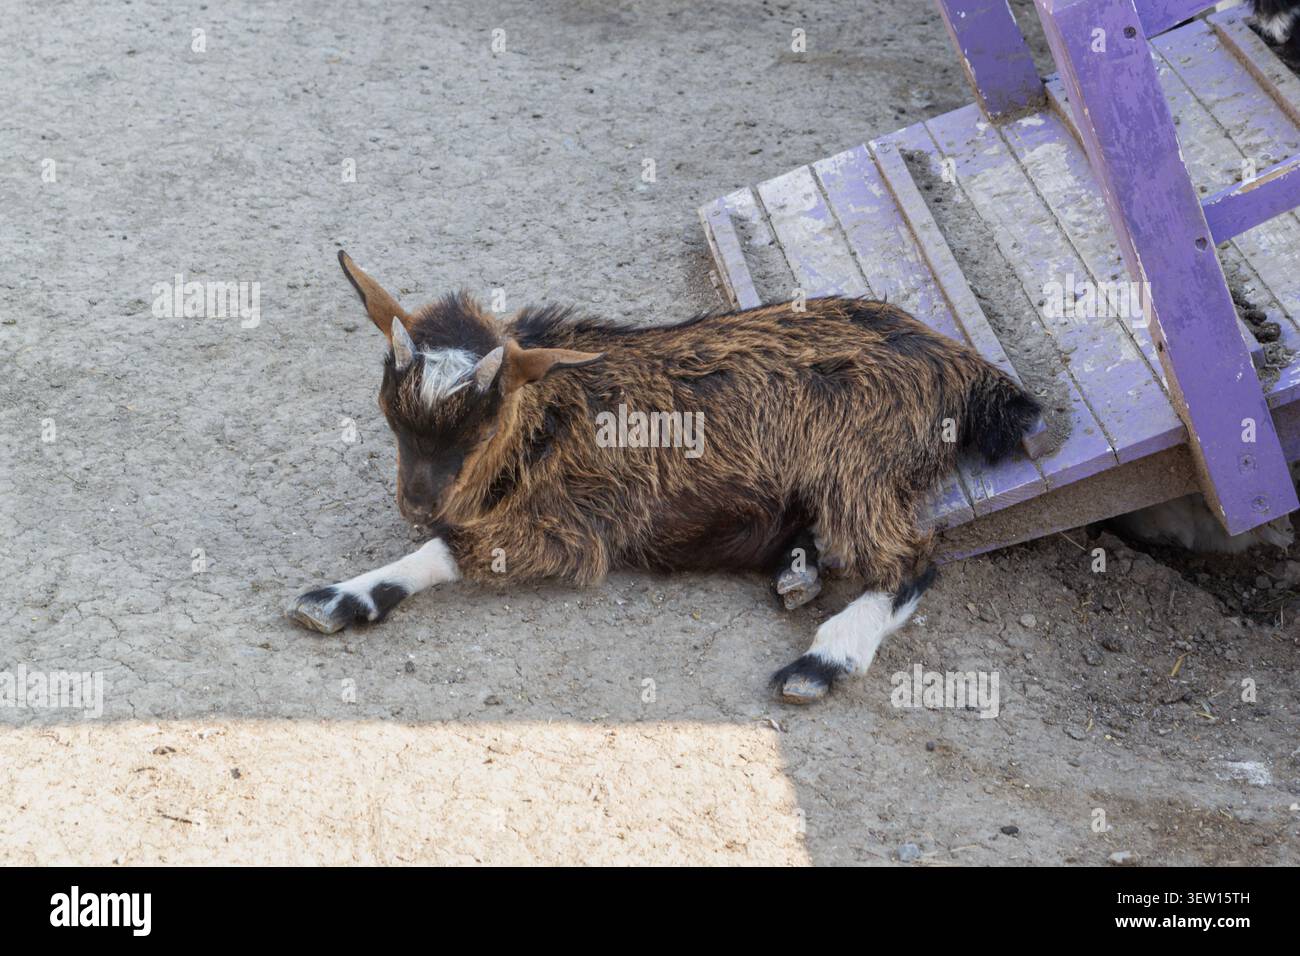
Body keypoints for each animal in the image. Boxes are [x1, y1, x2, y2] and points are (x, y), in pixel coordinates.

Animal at [287, 252, 1041, 703]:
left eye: (480, 425)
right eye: (390, 415)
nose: (417, 503)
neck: (548, 417)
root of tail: (963, 365)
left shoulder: (572, 527)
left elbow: (447, 551)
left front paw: (343, 596)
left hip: (860, 458)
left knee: (911, 560)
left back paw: (822, 661)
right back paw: (796, 570)